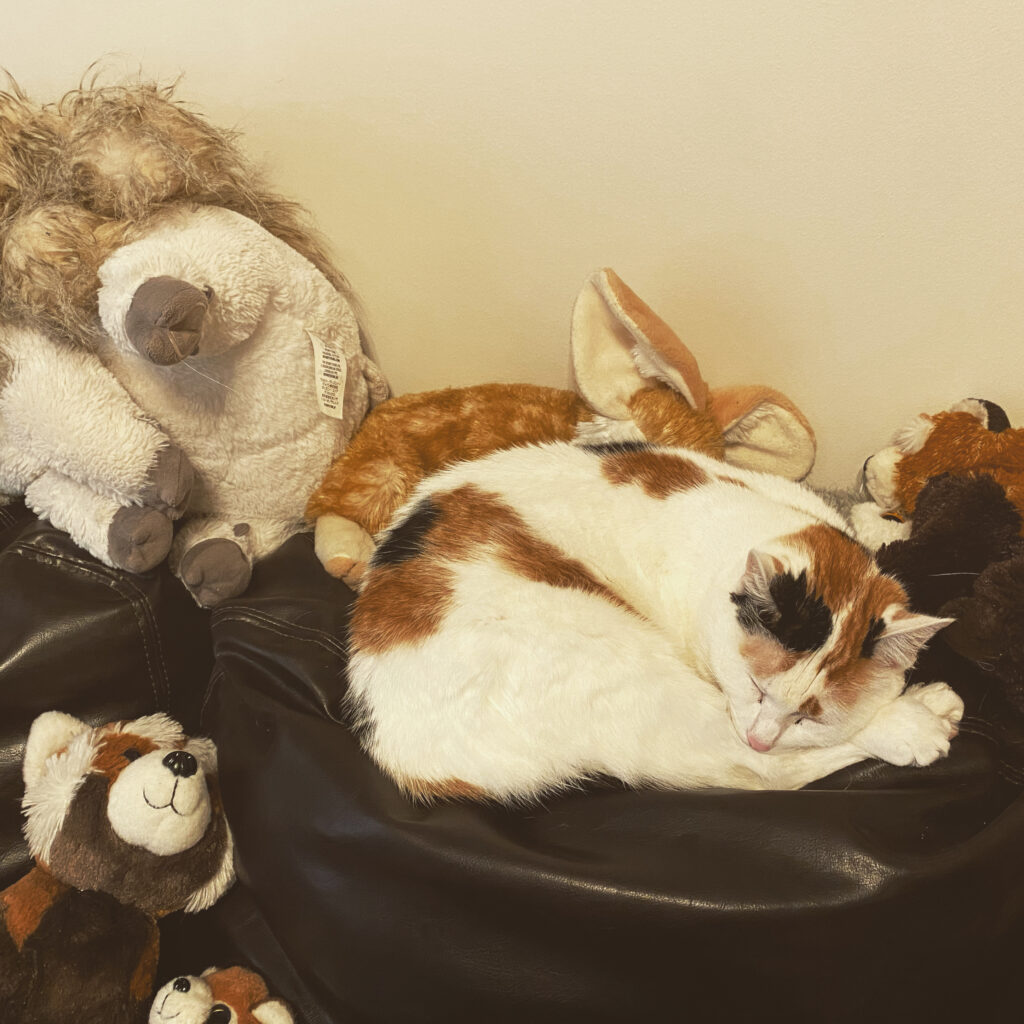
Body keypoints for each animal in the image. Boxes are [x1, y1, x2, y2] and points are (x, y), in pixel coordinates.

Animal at [348, 438, 962, 798]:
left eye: (811, 716)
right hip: (614, 658)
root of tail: (402, 754)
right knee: (762, 773)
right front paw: (903, 720)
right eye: (755, 687)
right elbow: (778, 760)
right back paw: (921, 722)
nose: (763, 735)